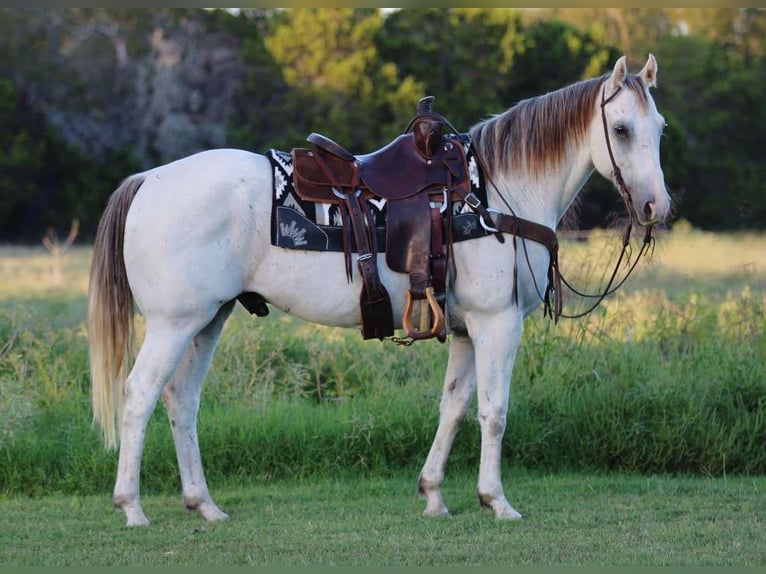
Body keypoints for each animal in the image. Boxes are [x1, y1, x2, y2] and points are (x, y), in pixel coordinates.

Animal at [88, 54, 671, 526]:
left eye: (659, 128)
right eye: (620, 129)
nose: (655, 208)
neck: (495, 194)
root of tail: (148, 180)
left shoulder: (466, 331)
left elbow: (453, 407)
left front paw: (434, 495)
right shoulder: (497, 323)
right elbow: (494, 411)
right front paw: (496, 500)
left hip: (209, 319)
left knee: (181, 398)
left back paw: (203, 505)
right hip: (174, 324)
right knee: (140, 395)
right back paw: (132, 507)